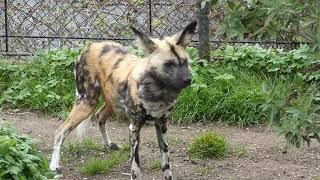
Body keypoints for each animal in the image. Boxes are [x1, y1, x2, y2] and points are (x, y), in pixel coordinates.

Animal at [49, 20, 198, 179]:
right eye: (169, 64)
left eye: (185, 62)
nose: (189, 80)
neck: (158, 91)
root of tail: (90, 46)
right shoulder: (134, 128)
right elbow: (135, 167)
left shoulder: (162, 124)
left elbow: (165, 161)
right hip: (86, 103)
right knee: (60, 132)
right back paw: (54, 166)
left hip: (111, 103)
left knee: (100, 116)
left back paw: (109, 145)